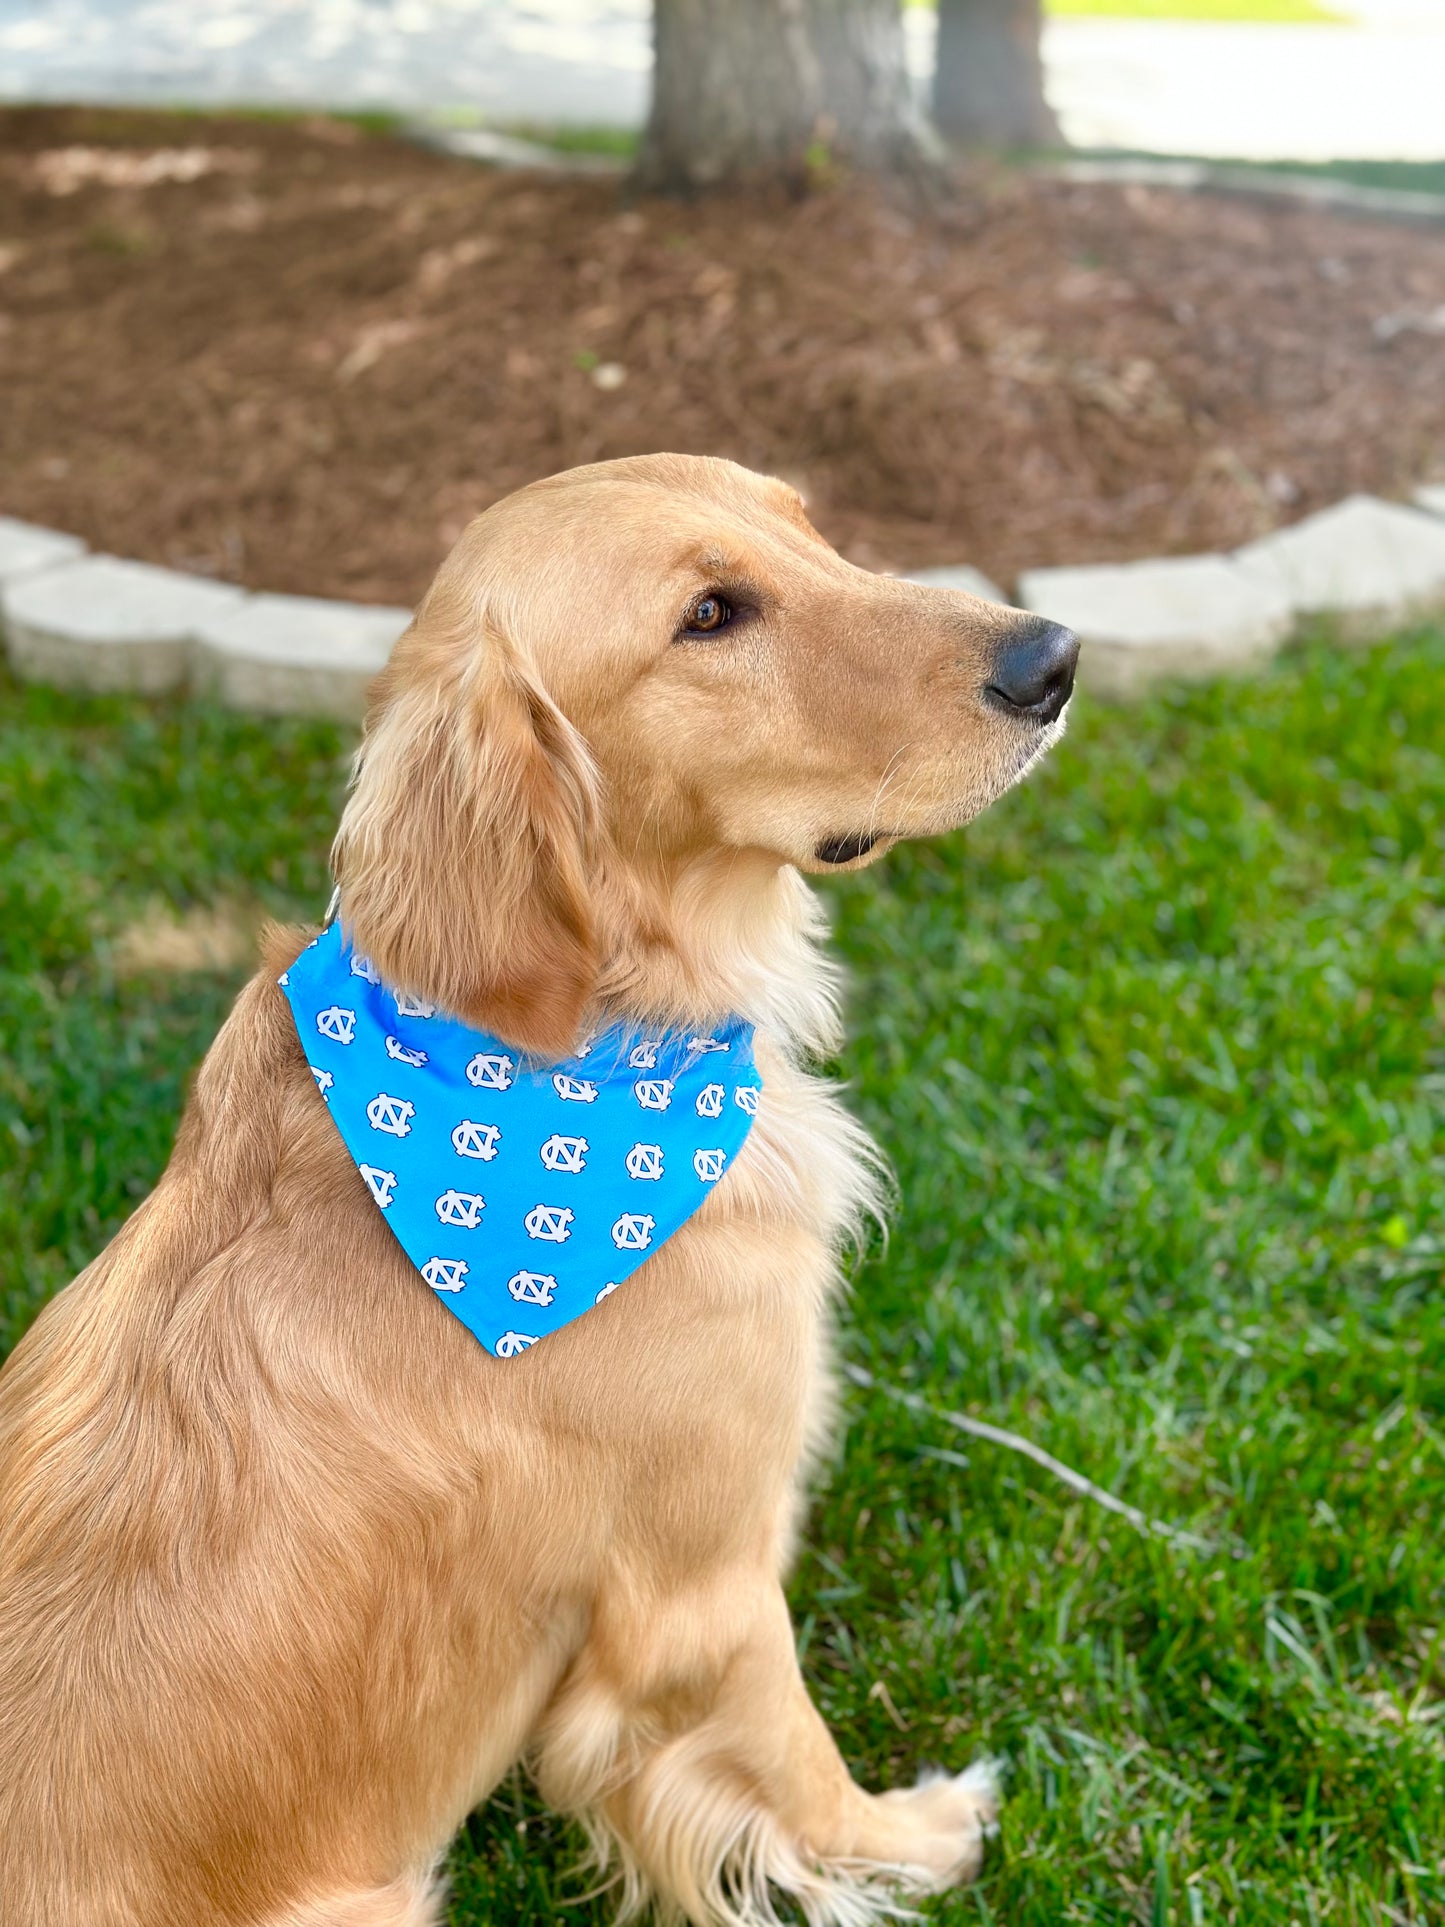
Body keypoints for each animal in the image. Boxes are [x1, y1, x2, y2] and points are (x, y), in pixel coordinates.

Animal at [0, 454, 1078, 1927]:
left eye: (806, 526)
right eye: (708, 615)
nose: (1055, 658)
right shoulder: (706, 1576)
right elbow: (793, 1756)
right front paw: (909, 1839)